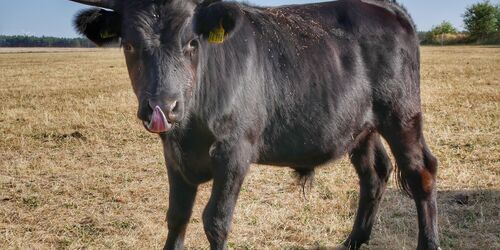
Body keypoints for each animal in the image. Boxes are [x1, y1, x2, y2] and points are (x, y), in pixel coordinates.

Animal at [69, 0, 438, 249]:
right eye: (129, 44)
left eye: (192, 43)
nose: (163, 107)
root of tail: (386, 7)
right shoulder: (173, 155)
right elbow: (177, 216)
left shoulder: (235, 151)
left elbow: (216, 221)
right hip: (360, 127)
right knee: (374, 174)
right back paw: (353, 241)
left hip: (401, 115)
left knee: (421, 173)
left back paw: (426, 242)